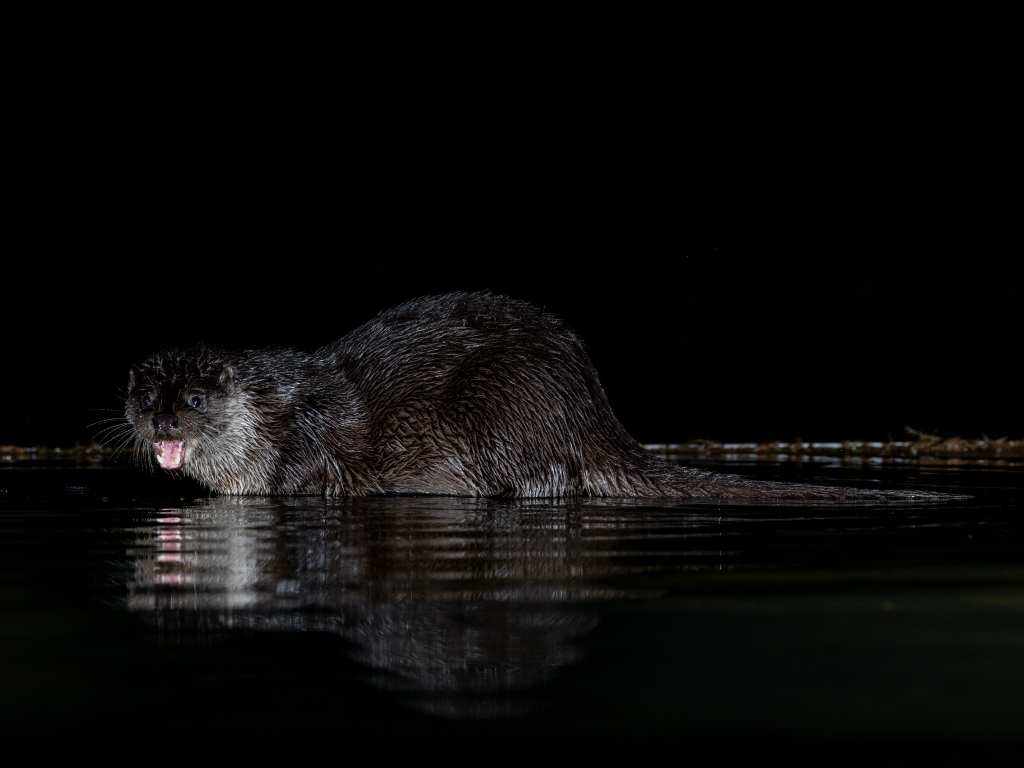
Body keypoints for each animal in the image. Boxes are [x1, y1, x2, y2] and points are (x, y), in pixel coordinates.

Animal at [122, 292, 955, 500]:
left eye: (193, 399)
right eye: (143, 396)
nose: (160, 419)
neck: (273, 413)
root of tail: (592, 408)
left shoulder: (307, 447)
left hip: (502, 405)